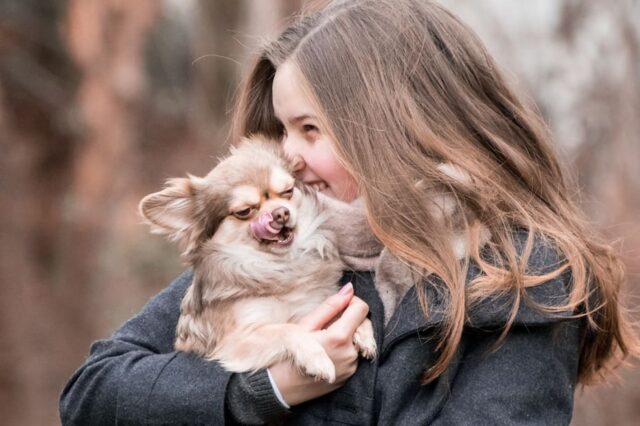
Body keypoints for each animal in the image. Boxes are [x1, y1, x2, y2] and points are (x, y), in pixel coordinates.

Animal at [140, 137, 378, 382]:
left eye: (288, 191)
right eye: (244, 211)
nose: (281, 213)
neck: (280, 264)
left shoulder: (312, 306)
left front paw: (363, 331)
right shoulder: (237, 341)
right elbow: (287, 329)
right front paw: (317, 359)